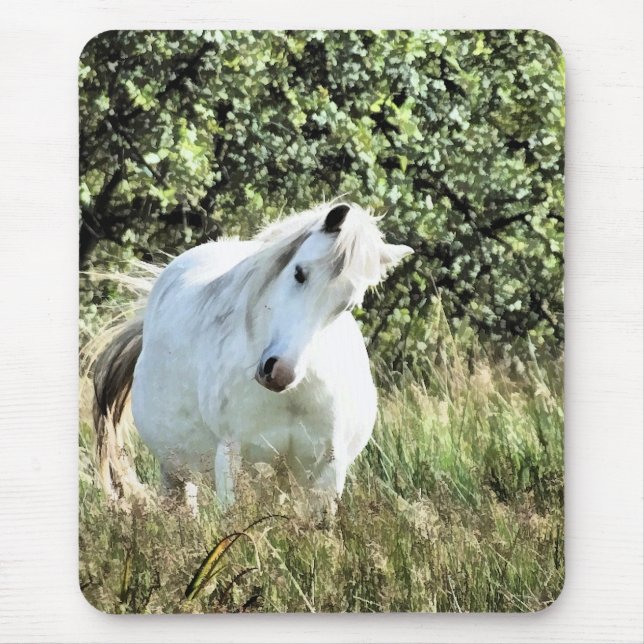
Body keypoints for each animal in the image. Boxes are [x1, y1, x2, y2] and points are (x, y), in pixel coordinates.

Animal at [92, 201, 412, 512]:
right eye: (299, 273)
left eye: (348, 304)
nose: (280, 372)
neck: (294, 396)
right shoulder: (232, 460)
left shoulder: (326, 473)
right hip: (174, 471)